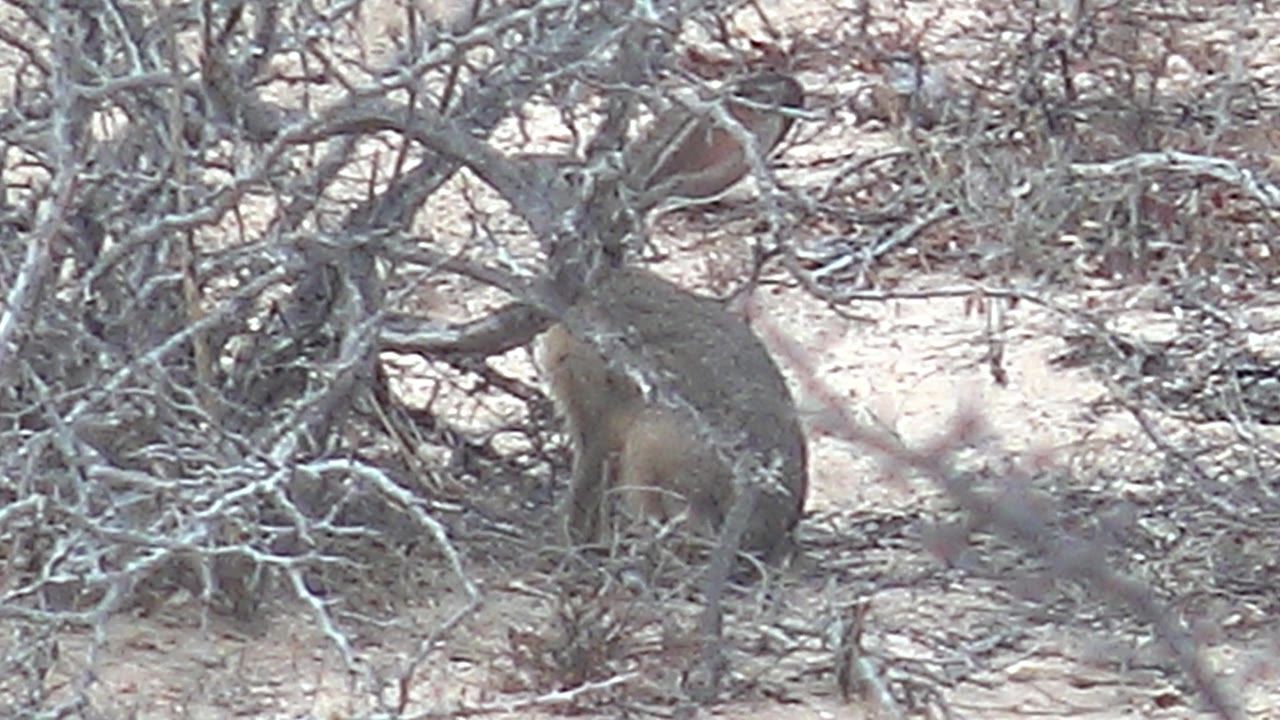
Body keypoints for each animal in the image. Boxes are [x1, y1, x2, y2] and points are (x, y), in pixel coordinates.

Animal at [539, 71, 808, 560]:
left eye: (572, 177)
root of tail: (760, 537)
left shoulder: (597, 412)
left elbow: (586, 478)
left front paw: (569, 540)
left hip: (654, 442)